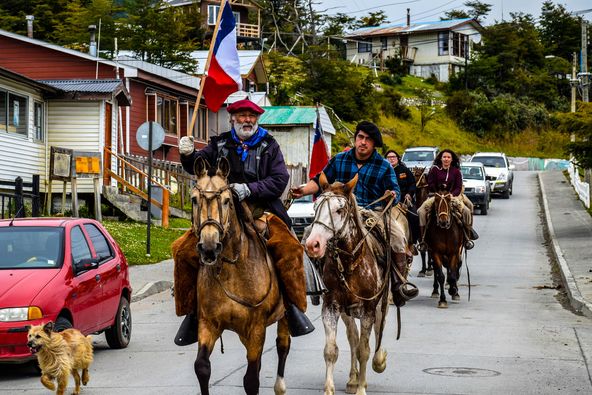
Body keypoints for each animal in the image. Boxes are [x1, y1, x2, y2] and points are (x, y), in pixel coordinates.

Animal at [188, 158, 288, 395]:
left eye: (226, 201)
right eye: (194, 199)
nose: (209, 247)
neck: (232, 270)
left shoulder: (256, 328)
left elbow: (251, 380)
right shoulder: (208, 323)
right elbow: (202, 367)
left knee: (282, 345)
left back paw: (280, 385)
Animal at [306, 175, 394, 395]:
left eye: (339, 210)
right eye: (316, 206)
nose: (313, 244)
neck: (349, 264)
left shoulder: (369, 310)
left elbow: (365, 350)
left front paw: (363, 387)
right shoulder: (331, 307)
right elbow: (331, 350)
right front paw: (330, 389)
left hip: (380, 306)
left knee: (377, 332)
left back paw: (377, 363)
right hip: (347, 312)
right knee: (353, 337)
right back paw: (353, 379)